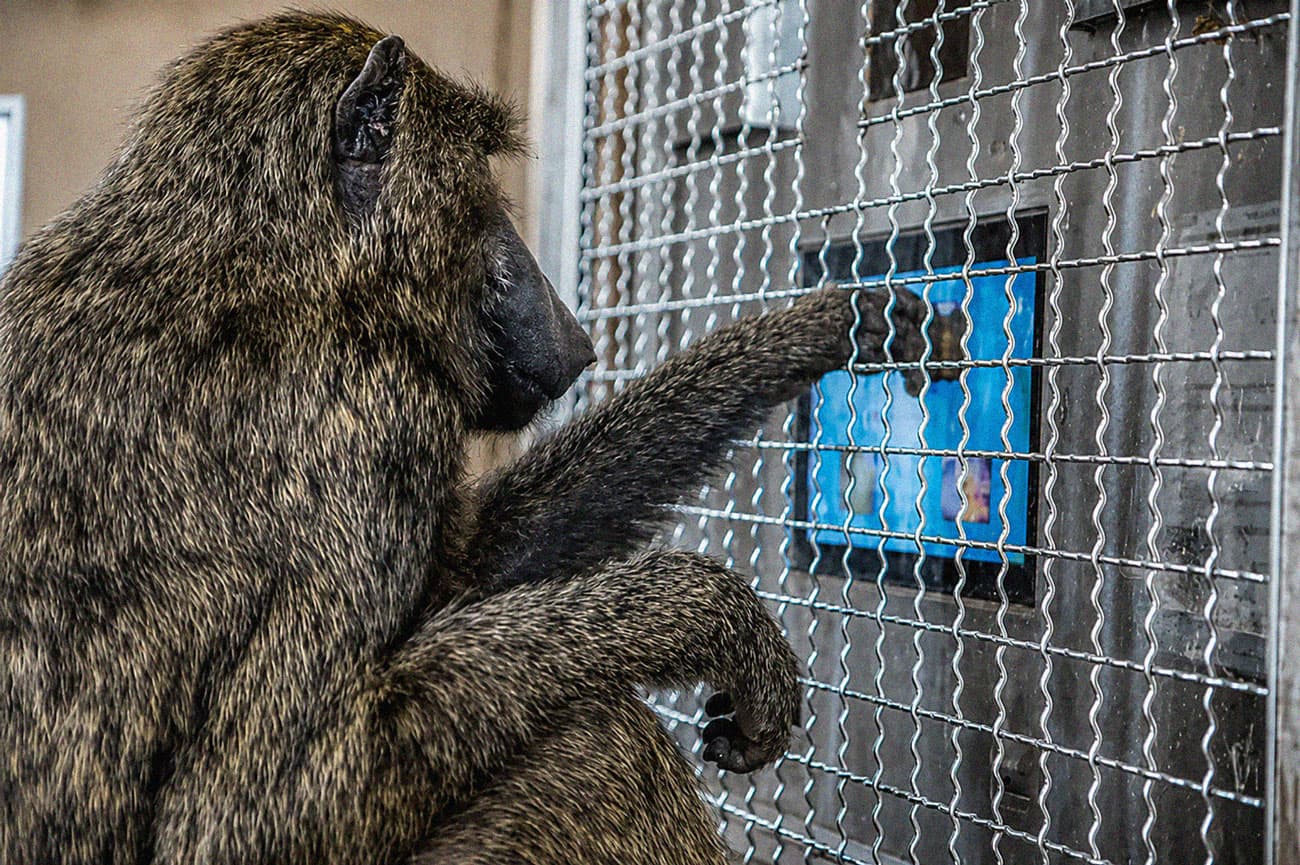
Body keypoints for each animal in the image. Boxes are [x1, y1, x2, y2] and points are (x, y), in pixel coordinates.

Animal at [0, 13, 926, 865]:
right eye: (481, 188)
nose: (574, 335)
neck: (259, 259)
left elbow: (476, 562)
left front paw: (830, 326)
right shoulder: (367, 410)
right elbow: (252, 815)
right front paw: (707, 614)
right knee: (594, 740)